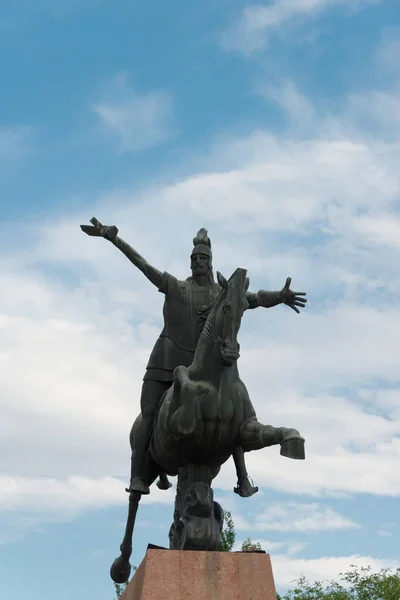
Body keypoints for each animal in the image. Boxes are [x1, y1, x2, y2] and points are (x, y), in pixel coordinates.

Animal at [109, 270, 304, 584]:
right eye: (225, 308)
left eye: (244, 310)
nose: (231, 351)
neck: (217, 379)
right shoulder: (176, 432)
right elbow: (181, 383)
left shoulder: (245, 432)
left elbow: (269, 433)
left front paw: (294, 443)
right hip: (146, 460)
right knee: (134, 499)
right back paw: (122, 565)